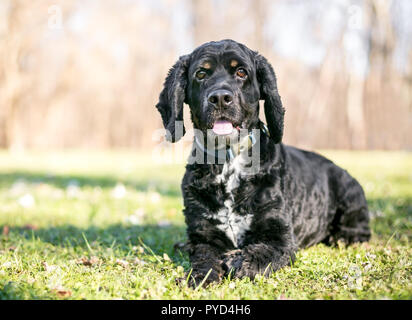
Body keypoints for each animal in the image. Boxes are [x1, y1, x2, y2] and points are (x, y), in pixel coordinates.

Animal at [154, 38, 370, 286]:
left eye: (241, 72)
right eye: (201, 74)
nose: (220, 98)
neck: (229, 164)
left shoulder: (280, 237)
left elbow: (260, 252)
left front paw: (237, 260)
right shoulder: (203, 235)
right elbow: (203, 257)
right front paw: (200, 276)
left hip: (350, 192)